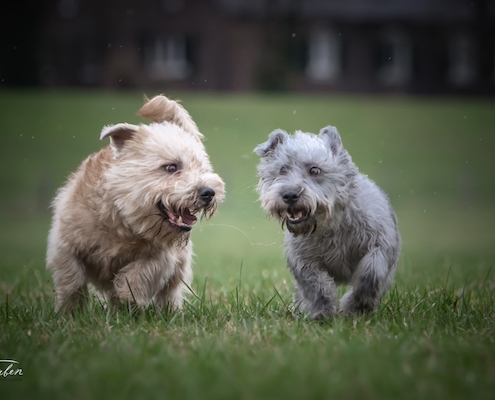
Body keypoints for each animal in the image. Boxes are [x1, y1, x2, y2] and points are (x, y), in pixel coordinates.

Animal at [46, 94, 225, 312]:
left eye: (203, 168)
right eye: (171, 167)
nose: (209, 192)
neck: (123, 222)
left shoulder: (163, 256)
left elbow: (137, 274)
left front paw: (129, 298)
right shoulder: (64, 244)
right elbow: (72, 279)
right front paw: (71, 312)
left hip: (179, 267)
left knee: (170, 292)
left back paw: (168, 312)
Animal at [254, 125, 402, 318]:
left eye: (315, 170)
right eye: (282, 170)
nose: (290, 195)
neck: (330, 224)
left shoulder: (381, 245)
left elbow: (371, 273)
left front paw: (354, 309)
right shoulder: (303, 259)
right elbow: (316, 286)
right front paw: (323, 314)